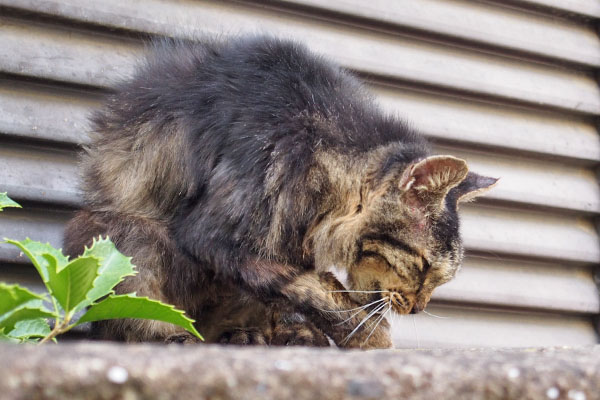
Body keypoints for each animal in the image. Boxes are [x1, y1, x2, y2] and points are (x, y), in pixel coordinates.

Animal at [64, 36, 496, 348]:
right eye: (423, 266)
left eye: (440, 279)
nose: (419, 309)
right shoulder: (215, 234)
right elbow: (307, 284)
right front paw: (365, 331)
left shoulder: (289, 239)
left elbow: (303, 285)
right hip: (124, 231)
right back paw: (179, 337)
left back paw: (257, 335)